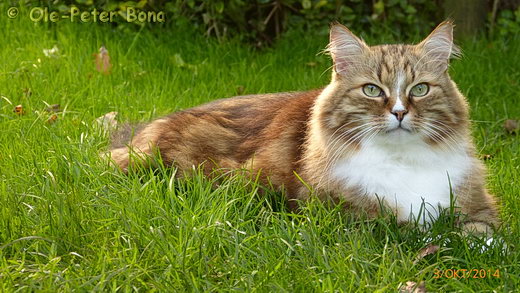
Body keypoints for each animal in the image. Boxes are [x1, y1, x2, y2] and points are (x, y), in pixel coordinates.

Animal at [108, 20, 500, 234]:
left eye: (419, 89)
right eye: (372, 90)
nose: (400, 112)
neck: (401, 161)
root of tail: (145, 133)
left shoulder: (478, 204)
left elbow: (483, 234)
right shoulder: (343, 213)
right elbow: (414, 231)